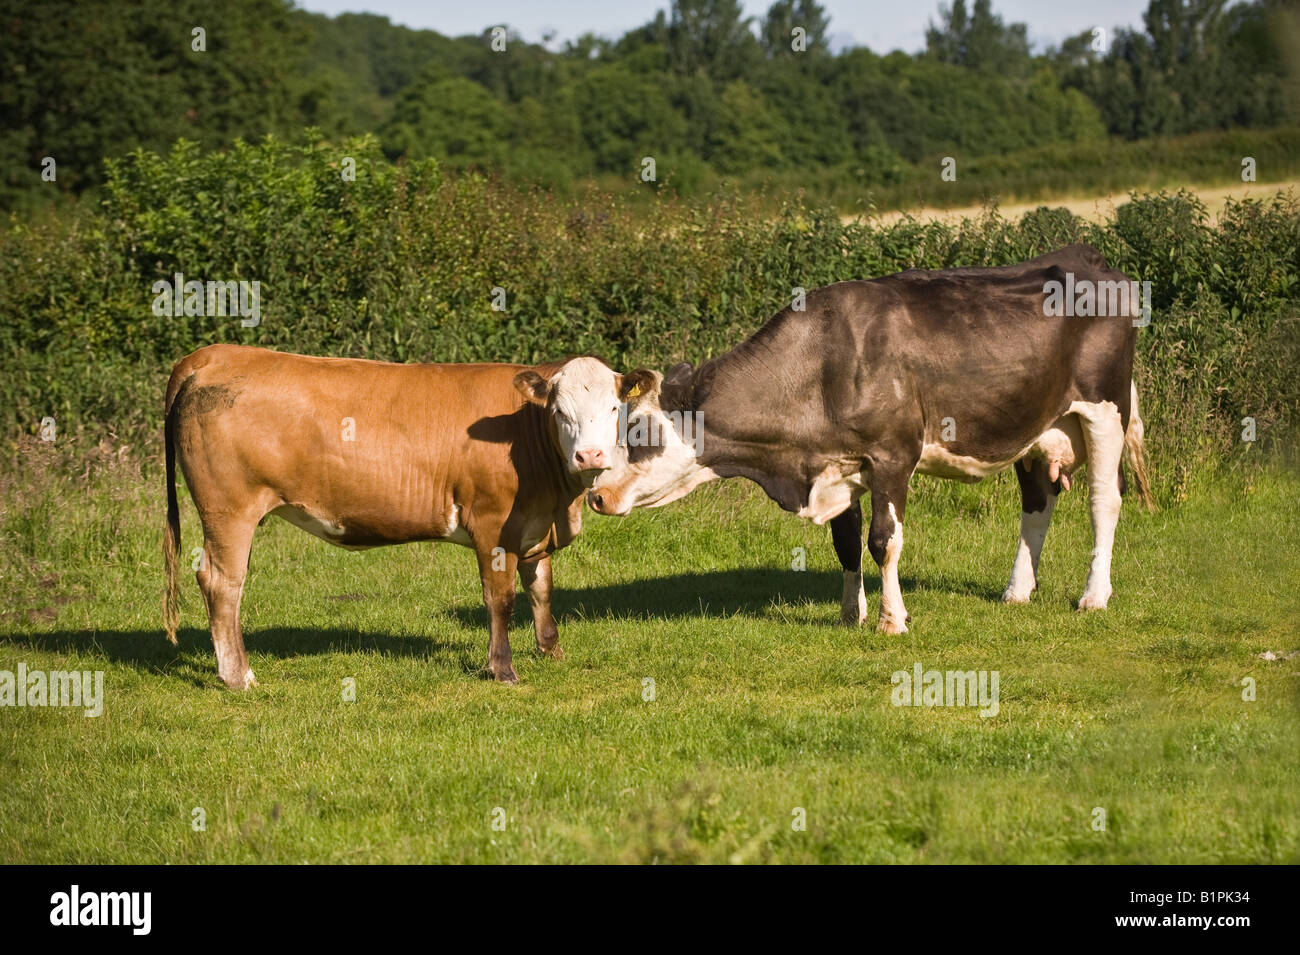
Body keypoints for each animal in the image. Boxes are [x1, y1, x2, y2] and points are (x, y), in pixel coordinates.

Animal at [163, 344, 648, 687]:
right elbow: (501, 599)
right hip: (229, 511)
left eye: (613, 408)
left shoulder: (534, 526)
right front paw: (503, 670)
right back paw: (237, 676)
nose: (590, 455)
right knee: (223, 583)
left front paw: (551, 652)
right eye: (560, 412)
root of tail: (215, 354)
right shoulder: (492, 524)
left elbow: (542, 590)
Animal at [588, 245, 1155, 631]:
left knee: (1104, 501)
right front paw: (849, 614)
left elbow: (883, 540)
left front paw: (891, 619)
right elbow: (846, 543)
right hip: (1037, 426)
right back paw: (1017, 591)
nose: (596, 494)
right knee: (1037, 504)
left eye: (639, 430)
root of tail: (1087, 256)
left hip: (1104, 410)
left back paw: (1093, 596)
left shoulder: (893, 456)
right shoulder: (838, 464)